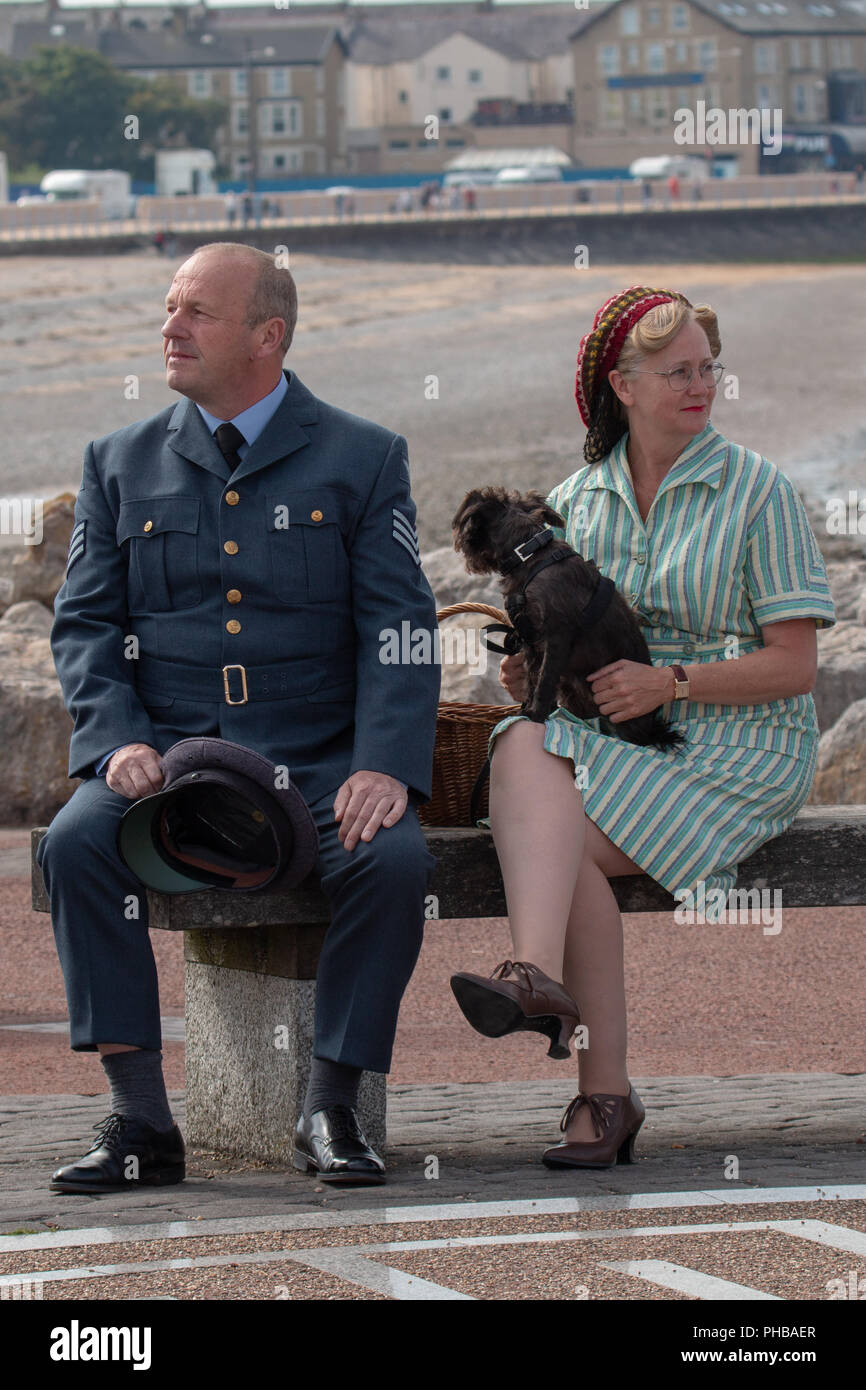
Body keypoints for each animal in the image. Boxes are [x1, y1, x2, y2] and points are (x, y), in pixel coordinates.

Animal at [453, 486, 683, 756]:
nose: (461, 543)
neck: (530, 553)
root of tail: (654, 728)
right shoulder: (531, 640)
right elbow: (533, 677)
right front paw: (527, 708)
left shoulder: (557, 637)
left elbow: (544, 681)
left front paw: (535, 715)